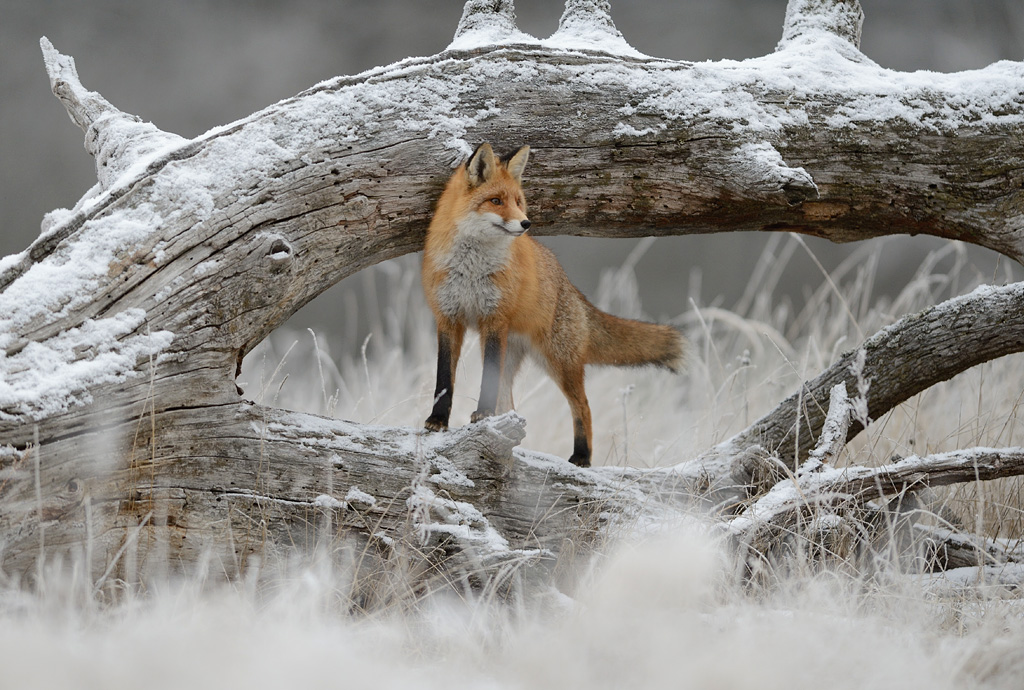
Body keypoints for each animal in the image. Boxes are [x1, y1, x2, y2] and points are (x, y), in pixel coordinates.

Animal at [419, 143, 684, 466]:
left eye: (518, 202)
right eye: (496, 201)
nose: (526, 223)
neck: (471, 270)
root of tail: (568, 284)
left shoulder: (494, 319)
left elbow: (484, 383)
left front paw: (482, 414)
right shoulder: (448, 317)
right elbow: (444, 377)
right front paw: (438, 420)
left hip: (559, 361)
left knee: (583, 406)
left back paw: (581, 456)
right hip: (511, 353)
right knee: (510, 403)